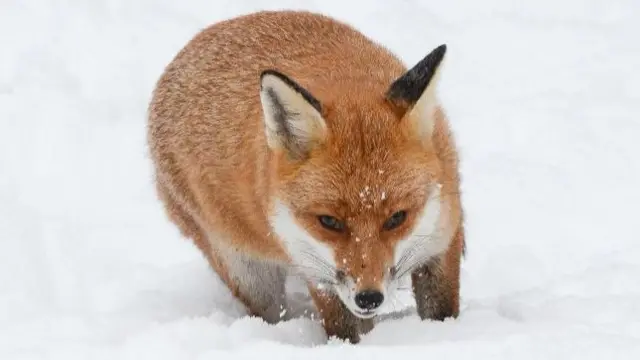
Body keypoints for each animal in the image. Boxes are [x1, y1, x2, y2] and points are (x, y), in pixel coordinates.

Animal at [146, 9, 464, 344]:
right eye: (329, 222)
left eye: (397, 218)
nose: (368, 298)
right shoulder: (313, 266)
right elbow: (343, 327)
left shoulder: (443, 235)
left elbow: (441, 310)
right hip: (248, 273)